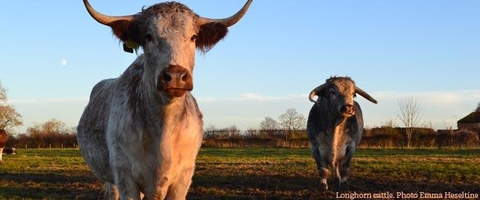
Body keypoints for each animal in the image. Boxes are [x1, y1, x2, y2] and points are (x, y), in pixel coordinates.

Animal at [76, 0, 251, 199]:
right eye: (148, 36)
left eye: (193, 37)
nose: (175, 75)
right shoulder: (124, 175)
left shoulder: (184, 177)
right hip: (111, 179)